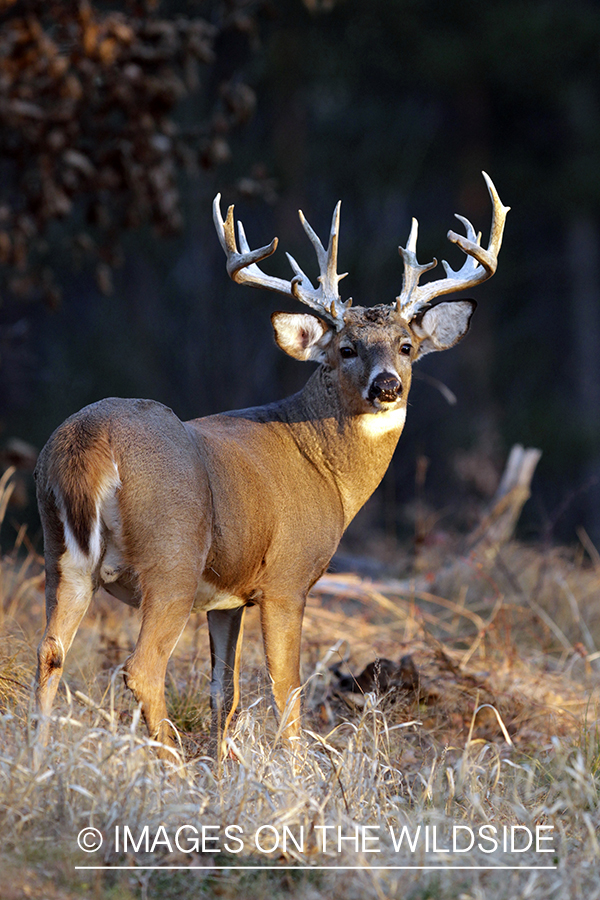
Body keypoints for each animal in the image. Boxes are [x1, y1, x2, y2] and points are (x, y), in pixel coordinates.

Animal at [34, 174, 506, 760]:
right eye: (346, 349)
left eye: (407, 346)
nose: (387, 386)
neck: (327, 471)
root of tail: (90, 440)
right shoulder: (288, 577)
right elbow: (289, 692)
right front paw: (299, 776)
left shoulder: (227, 597)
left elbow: (225, 692)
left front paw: (222, 769)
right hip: (172, 558)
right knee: (141, 669)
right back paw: (174, 769)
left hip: (60, 552)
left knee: (50, 650)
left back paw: (37, 755)